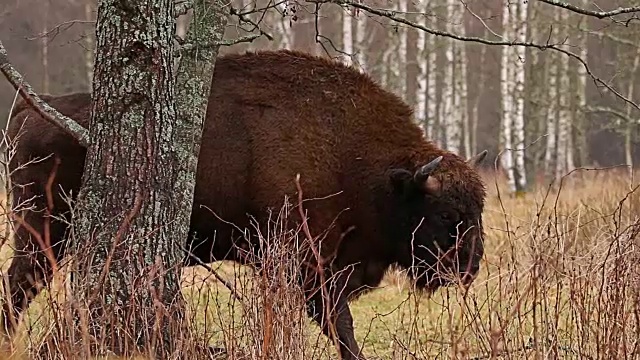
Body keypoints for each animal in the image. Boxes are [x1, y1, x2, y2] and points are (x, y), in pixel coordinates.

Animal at [2, 49, 488, 358]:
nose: (469, 266)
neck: (360, 164)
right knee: (21, 283)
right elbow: (337, 322)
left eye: (479, 209)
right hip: (41, 231)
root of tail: (31, 111)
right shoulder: (306, 263)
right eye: (446, 214)